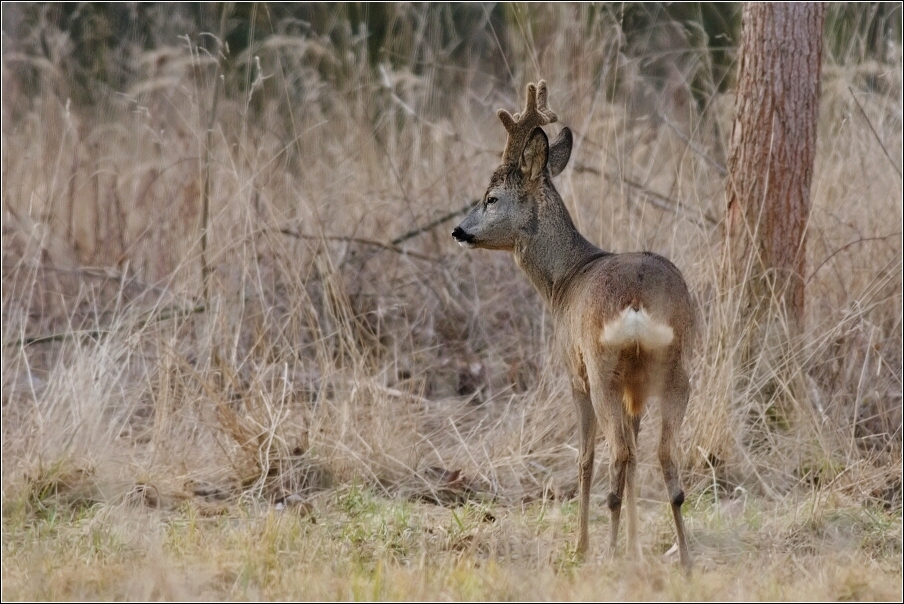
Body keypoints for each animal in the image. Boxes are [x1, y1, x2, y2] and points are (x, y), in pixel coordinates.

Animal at [452, 79, 692, 568]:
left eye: (491, 198)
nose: (459, 230)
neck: (564, 279)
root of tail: (637, 301)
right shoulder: (635, 389)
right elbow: (635, 458)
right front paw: (636, 545)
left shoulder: (573, 372)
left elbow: (584, 458)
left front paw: (583, 545)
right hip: (675, 365)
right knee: (660, 454)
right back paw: (684, 558)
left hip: (601, 369)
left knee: (616, 451)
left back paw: (608, 551)